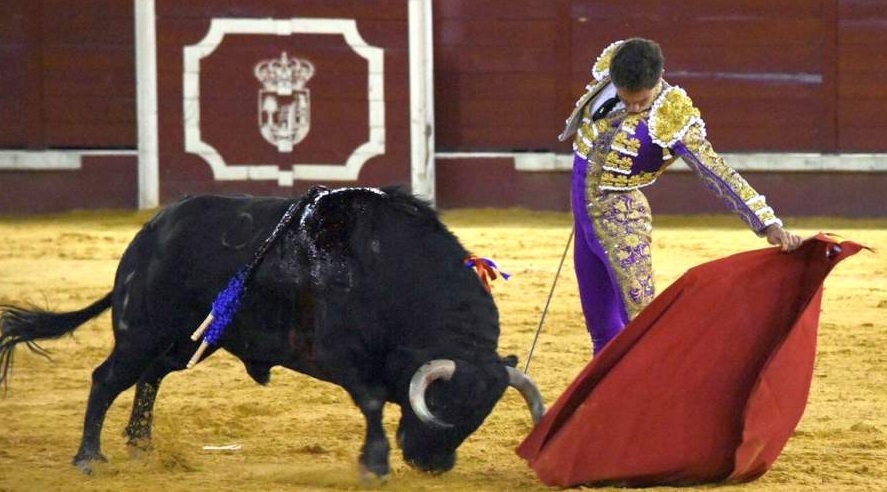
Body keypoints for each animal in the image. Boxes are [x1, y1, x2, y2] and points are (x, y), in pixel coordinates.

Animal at [0, 184, 540, 480]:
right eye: (444, 404)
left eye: (479, 416)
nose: (433, 465)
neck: (395, 275)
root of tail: (148, 236)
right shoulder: (343, 355)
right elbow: (370, 403)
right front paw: (375, 465)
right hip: (142, 332)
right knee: (108, 379)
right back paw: (90, 458)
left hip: (185, 342)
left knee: (150, 378)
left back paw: (141, 446)